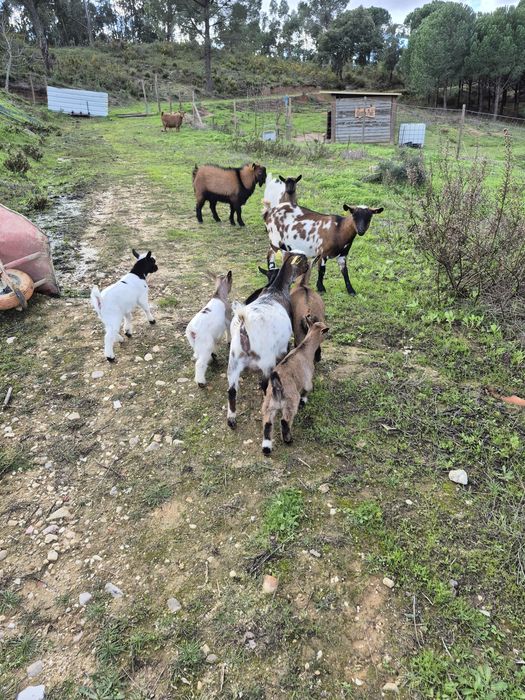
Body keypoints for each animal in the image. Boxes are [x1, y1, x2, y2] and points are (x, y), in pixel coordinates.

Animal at [227, 252, 309, 429]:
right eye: (303, 260)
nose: (308, 267)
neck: (275, 290)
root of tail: (244, 328)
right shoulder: (283, 345)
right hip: (266, 361)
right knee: (264, 384)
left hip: (234, 361)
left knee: (231, 390)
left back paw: (231, 419)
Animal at [261, 320, 329, 455]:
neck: (304, 349)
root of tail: (277, 386)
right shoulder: (307, 379)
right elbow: (307, 389)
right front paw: (304, 400)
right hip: (290, 402)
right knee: (285, 421)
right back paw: (288, 440)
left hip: (269, 404)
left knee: (267, 423)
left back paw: (266, 448)